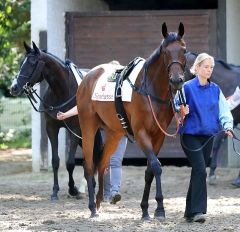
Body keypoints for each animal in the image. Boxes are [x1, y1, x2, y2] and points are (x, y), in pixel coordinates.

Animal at [10, 42, 102, 201]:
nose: (14, 88)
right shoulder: (51, 128)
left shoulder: (75, 129)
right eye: (21, 62)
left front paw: (73, 189)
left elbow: (70, 163)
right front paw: (55, 191)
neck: (63, 92)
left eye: (32, 63)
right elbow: (55, 161)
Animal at [76, 22, 187, 218]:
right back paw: (92, 208)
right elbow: (156, 166)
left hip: (114, 133)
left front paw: (145, 209)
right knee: (88, 165)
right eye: (165, 51)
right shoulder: (141, 133)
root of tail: (88, 77)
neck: (149, 89)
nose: (176, 80)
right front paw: (159, 208)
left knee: (102, 163)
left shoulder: (158, 136)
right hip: (88, 126)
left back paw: (98, 201)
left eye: (184, 50)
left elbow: (150, 170)